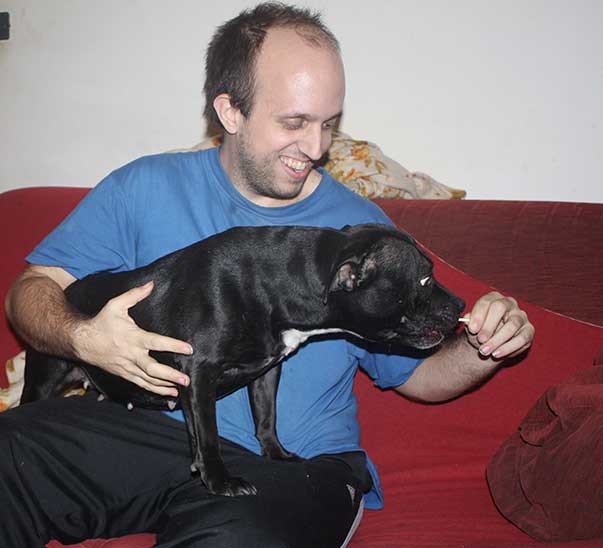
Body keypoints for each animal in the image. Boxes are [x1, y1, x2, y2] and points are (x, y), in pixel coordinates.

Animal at [22, 223, 465, 496]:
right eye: (425, 278)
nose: (462, 304)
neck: (283, 282)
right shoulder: (198, 373)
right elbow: (210, 435)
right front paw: (220, 480)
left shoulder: (266, 372)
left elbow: (264, 418)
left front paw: (275, 454)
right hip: (44, 377)